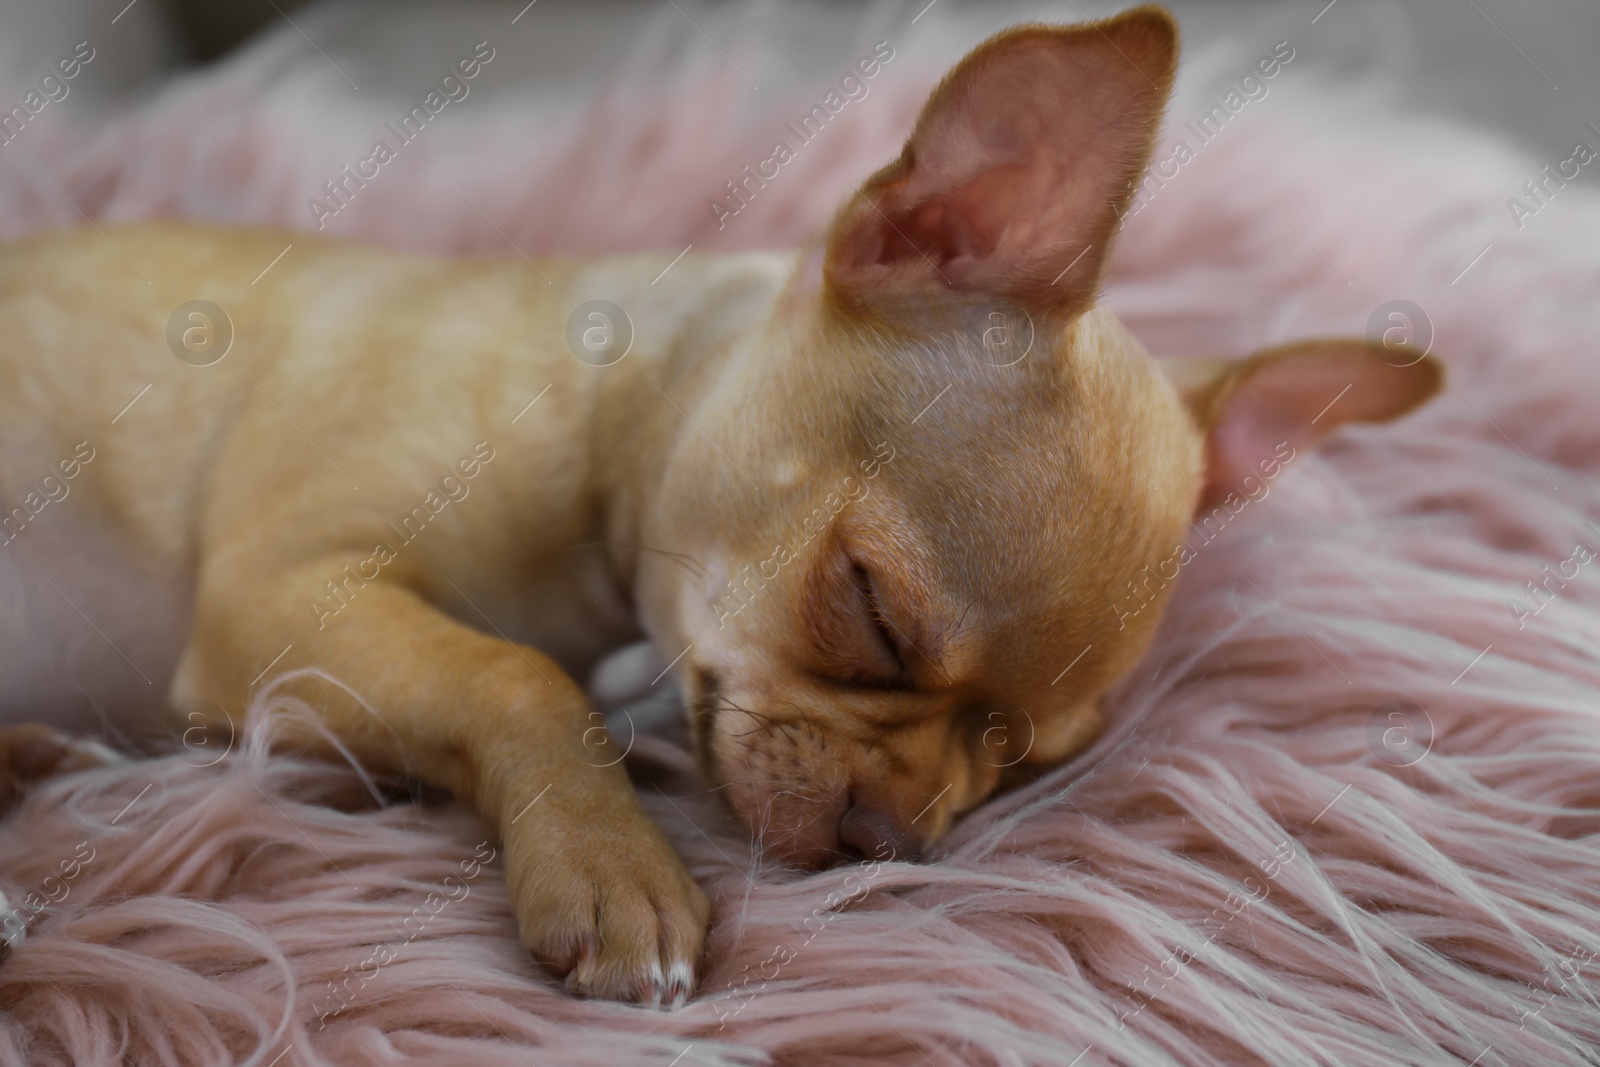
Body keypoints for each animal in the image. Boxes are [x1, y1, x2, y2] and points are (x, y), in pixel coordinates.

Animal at [0, 8, 1446, 1004]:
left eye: (1022, 758)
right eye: (869, 608)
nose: (889, 837)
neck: (610, 415)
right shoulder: (280, 597)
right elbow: (519, 673)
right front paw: (614, 862)